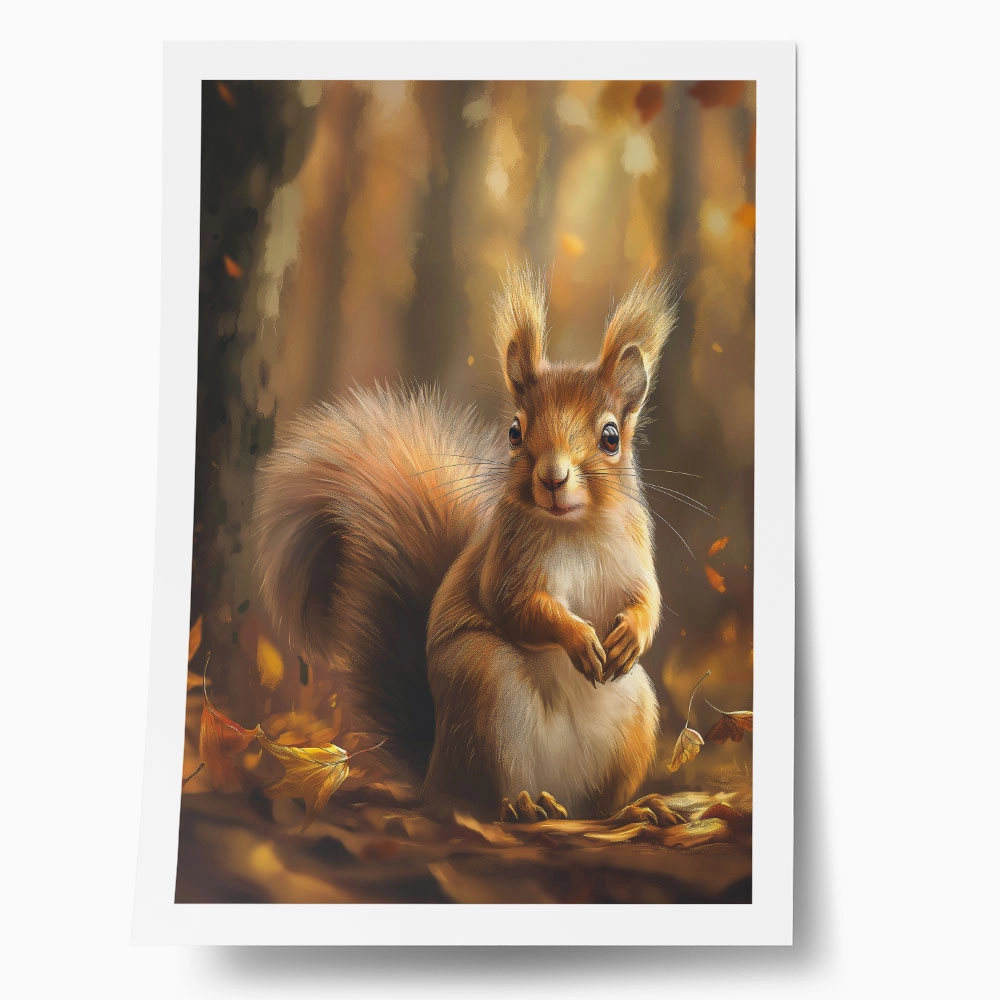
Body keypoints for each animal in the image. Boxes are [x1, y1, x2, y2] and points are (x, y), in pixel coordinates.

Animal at [253, 265, 680, 823]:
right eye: (515, 431)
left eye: (611, 437)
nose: (552, 479)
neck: (575, 527)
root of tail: (434, 769)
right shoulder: (508, 557)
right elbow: (514, 605)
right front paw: (578, 638)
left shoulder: (635, 549)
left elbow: (648, 599)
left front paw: (630, 634)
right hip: (485, 686)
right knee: (474, 799)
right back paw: (521, 806)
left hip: (634, 712)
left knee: (594, 809)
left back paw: (630, 811)